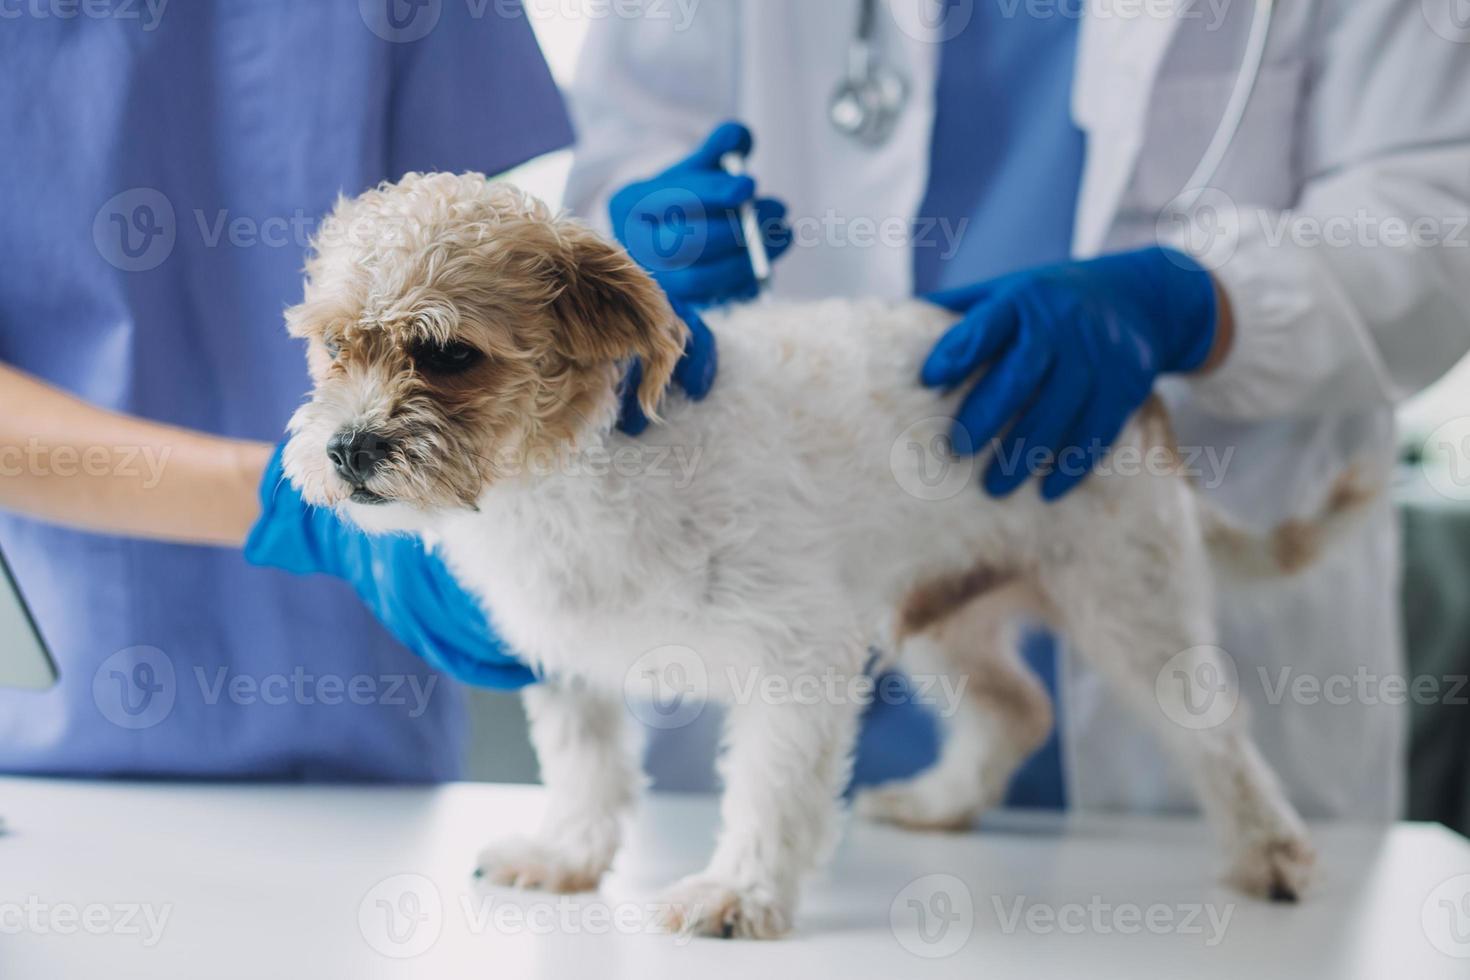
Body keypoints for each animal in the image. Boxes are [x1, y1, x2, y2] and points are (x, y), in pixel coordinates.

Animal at [283, 172, 1364, 940]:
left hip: (1131, 607)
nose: (346, 451)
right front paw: (567, 855)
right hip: (939, 618)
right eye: (334, 348)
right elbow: (588, 769)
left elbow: (771, 787)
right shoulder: (566, 660)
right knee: (1018, 706)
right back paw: (940, 802)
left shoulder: (797, 657)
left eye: (448, 354)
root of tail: (1135, 384)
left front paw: (739, 892)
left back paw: (1270, 853)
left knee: (1217, 737)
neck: (578, 480)